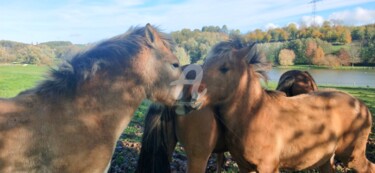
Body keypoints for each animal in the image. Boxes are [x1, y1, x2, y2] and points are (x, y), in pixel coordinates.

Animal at [180, 39, 375, 173]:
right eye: (204, 64)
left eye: (224, 68)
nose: (189, 95)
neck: (254, 116)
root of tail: (362, 107)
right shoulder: (244, 167)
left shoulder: (268, 167)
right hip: (327, 159)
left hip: (352, 155)